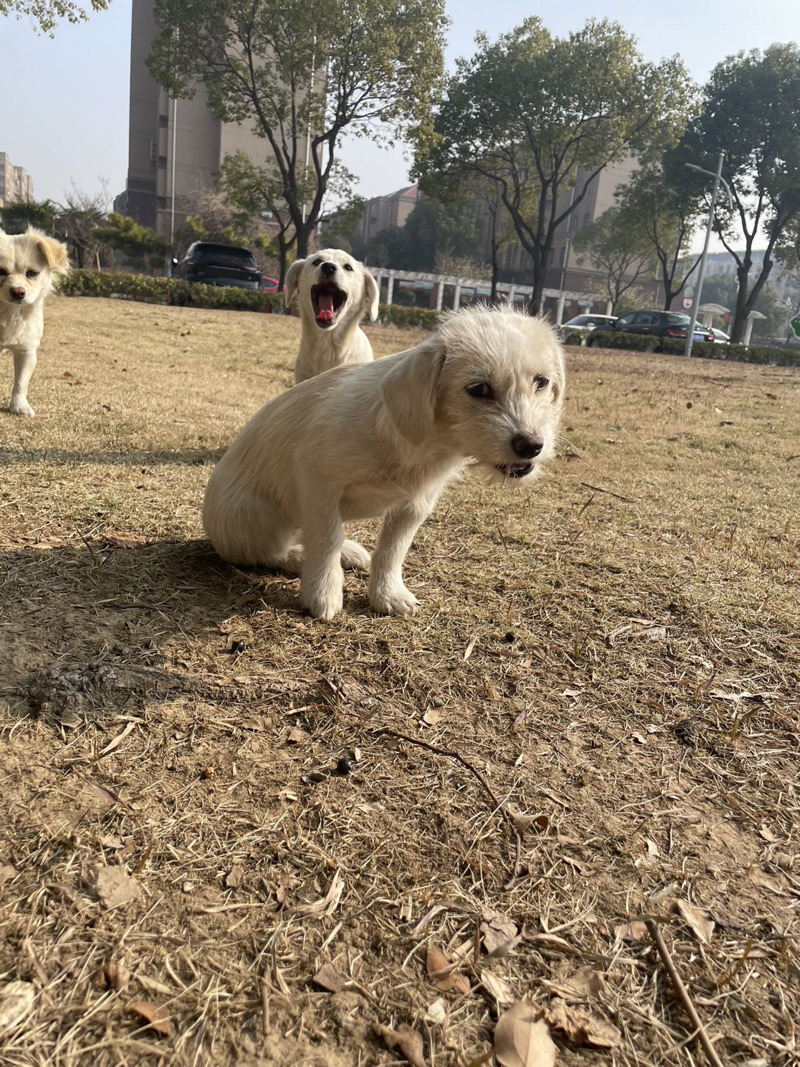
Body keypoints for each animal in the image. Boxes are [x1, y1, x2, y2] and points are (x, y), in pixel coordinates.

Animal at [0, 227, 69, 413]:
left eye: (32, 274)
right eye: (0, 272)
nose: (18, 292)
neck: (8, 312)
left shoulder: (27, 350)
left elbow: (21, 381)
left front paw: (19, 406)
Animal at [206, 305, 571, 623]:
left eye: (541, 382)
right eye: (478, 389)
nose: (532, 446)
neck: (424, 442)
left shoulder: (415, 504)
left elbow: (392, 550)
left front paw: (387, 595)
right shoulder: (317, 480)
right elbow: (326, 538)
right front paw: (323, 594)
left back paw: (348, 552)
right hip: (255, 516)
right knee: (270, 550)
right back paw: (302, 558)